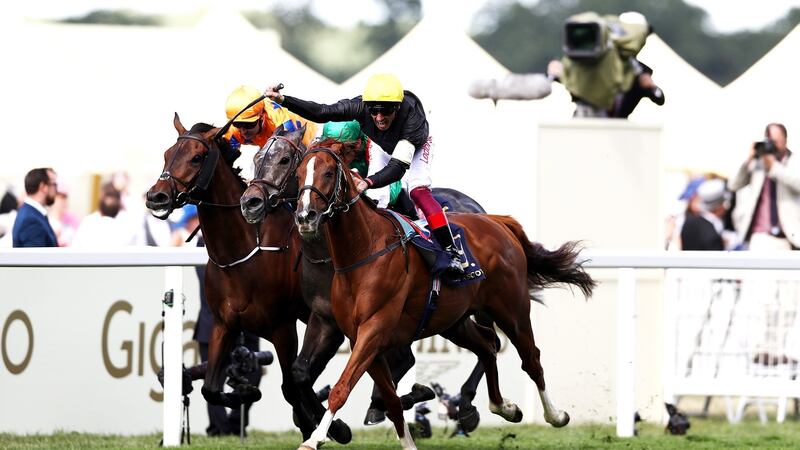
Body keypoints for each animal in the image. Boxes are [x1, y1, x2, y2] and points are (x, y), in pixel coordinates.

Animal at [144, 115, 350, 442]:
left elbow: (291, 385)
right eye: (167, 154)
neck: (241, 253)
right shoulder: (223, 324)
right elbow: (210, 388)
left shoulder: (282, 327)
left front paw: (329, 426)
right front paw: (245, 391)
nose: (156, 197)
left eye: (197, 157)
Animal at [238, 130, 490, 428]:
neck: (330, 255)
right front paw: (326, 423)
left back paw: (467, 406)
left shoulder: (369, 322)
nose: (250, 202)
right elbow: (300, 373)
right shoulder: (324, 318)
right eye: (256, 158)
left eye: (285, 160)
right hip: (452, 314)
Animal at [292, 146, 592, 448]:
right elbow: (391, 400)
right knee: (487, 346)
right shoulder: (360, 337)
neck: (362, 253)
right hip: (453, 321)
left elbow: (342, 388)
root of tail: (497, 221)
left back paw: (555, 415)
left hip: (512, 310)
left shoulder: (374, 330)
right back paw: (502, 407)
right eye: (298, 173)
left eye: (329, 172)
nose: (305, 217)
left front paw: (314, 439)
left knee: (530, 358)